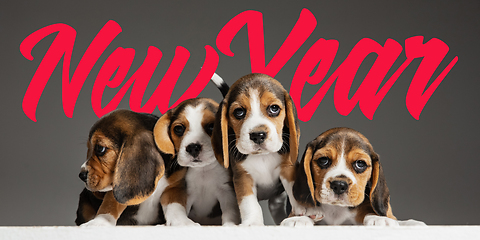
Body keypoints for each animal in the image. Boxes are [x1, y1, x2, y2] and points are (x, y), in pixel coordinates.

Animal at [154, 97, 238, 225]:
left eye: (212, 127)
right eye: (179, 129)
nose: (193, 147)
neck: (203, 170)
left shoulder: (226, 191)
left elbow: (230, 211)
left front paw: (230, 225)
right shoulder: (186, 193)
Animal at [211, 72, 304, 225]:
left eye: (274, 108)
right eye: (239, 112)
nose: (258, 135)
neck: (262, 156)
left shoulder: (288, 168)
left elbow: (294, 191)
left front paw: (299, 216)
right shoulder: (243, 177)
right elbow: (249, 203)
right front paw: (253, 222)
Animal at [282, 128, 428, 226]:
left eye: (360, 164)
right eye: (323, 160)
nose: (339, 185)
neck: (337, 209)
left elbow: (371, 212)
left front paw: (379, 219)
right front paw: (299, 218)